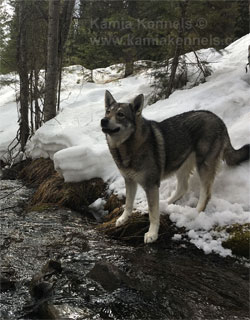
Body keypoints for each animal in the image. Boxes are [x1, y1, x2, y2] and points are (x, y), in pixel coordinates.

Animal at [100, 91, 249, 244]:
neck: (126, 147)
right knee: (182, 188)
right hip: (182, 165)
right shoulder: (129, 181)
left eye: (120, 114)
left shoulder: (151, 185)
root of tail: (219, 119)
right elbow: (129, 203)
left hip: (203, 166)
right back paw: (166, 203)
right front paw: (123, 219)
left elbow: (153, 214)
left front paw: (152, 234)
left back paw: (195, 212)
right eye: (108, 112)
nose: (103, 120)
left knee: (205, 194)